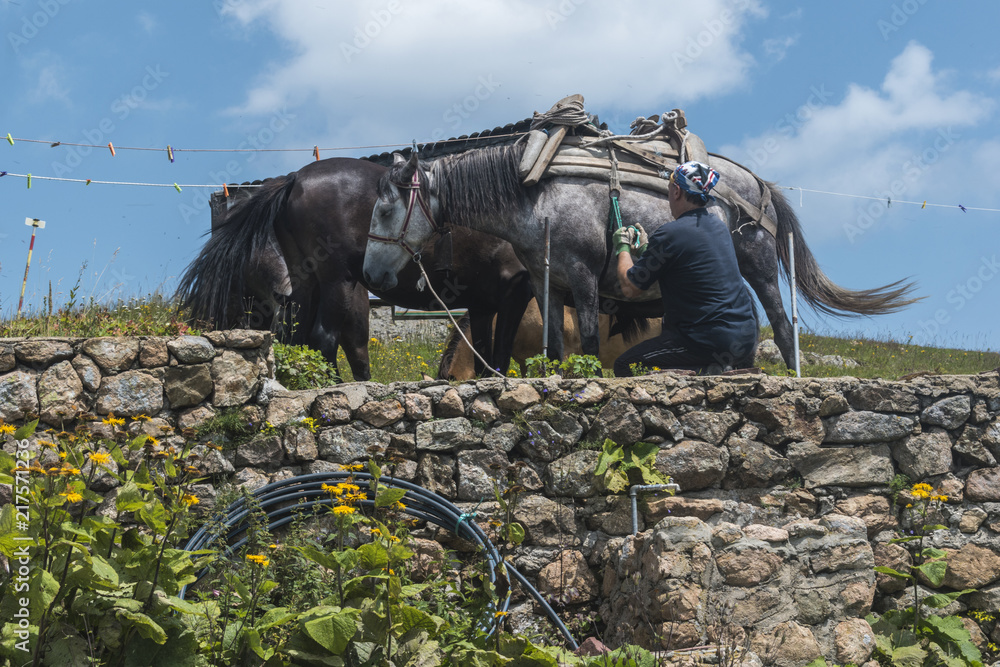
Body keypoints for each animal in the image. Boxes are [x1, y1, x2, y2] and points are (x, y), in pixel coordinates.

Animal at [176, 156, 534, 381]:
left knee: (300, 340)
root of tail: (294, 179)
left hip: (309, 285)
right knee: (322, 338)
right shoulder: (514, 292)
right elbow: (501, 355)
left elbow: (486, 359)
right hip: (337, 283)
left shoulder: (483, 306)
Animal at [363, 144, 920, 368]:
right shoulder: (547, 285)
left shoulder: (583, 278)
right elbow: (554, 347)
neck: (536, 196)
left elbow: (588, 343)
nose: (370, 276)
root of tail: (759, 183)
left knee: (782, 327)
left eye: (386, 210)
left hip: (759, 266)